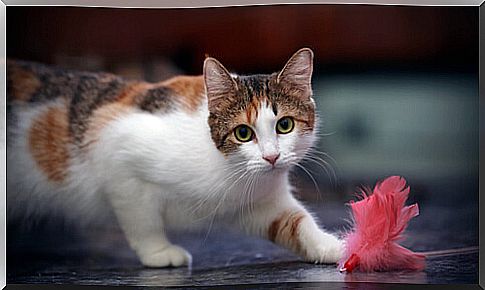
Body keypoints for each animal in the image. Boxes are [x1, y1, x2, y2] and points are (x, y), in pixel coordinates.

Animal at [5, 48, 342, 268]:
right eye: (243, 133)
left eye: (285, 125)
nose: (272, 157)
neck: (231, 171)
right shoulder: (117, 152)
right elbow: (142, 218)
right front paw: (158, 252)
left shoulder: (261, 204)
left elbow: (296, 222)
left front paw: (336, 247)